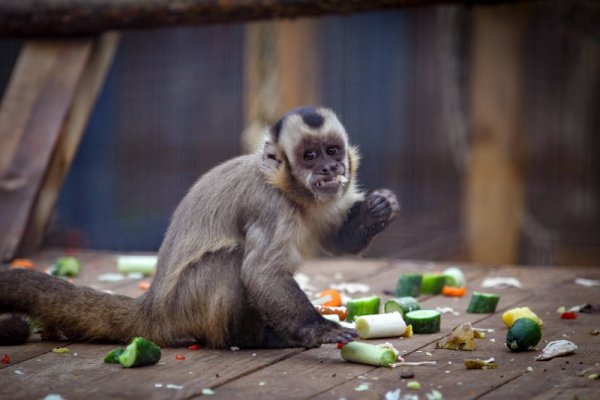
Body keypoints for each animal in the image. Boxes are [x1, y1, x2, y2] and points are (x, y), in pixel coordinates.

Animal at [2, 108, 400, 348]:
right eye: (310, 156)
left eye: (332, 151)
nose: (330, 169)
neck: (292, 193)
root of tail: (153, 308)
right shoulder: (270, 206)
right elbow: (261, 272)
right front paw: (318, 328)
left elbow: (336, 240)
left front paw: (376, 211)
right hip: (187, 306)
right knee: (231, 262)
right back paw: (254, 338)